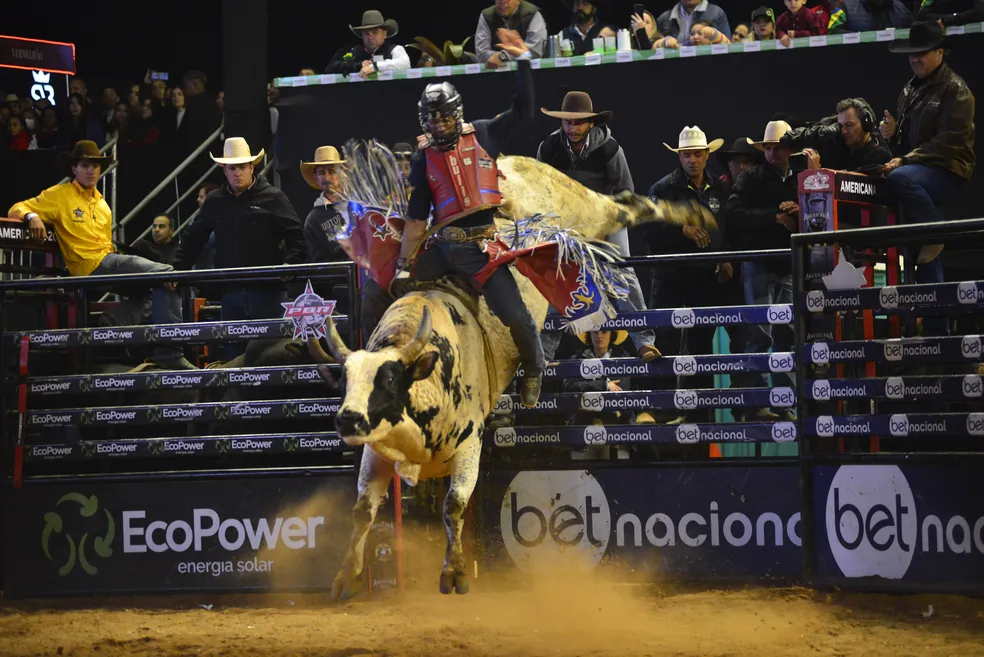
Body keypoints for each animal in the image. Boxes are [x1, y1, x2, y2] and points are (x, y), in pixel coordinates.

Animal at [312, 151, 712, 596]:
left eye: (388, 381)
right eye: (348, 383)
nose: (347, 419)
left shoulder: (469, 444)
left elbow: (454, 506)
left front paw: (454, 573)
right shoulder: (377, 451)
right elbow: (363, 510)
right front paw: (346, 577)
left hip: (582, 209)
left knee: (626, 206)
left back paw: (692, 213)